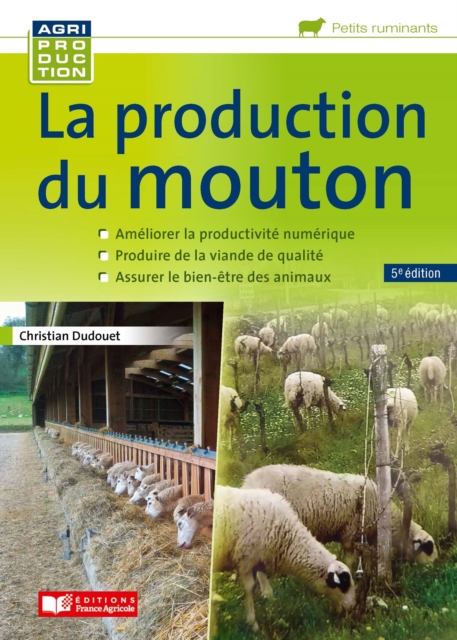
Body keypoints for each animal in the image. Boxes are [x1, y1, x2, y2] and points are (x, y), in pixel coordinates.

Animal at [214, 485, 356, 630]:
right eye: (344, 584)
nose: (352, 607)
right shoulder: (245, 559)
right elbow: (250, 588)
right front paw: (252, 623)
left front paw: (269, 598)